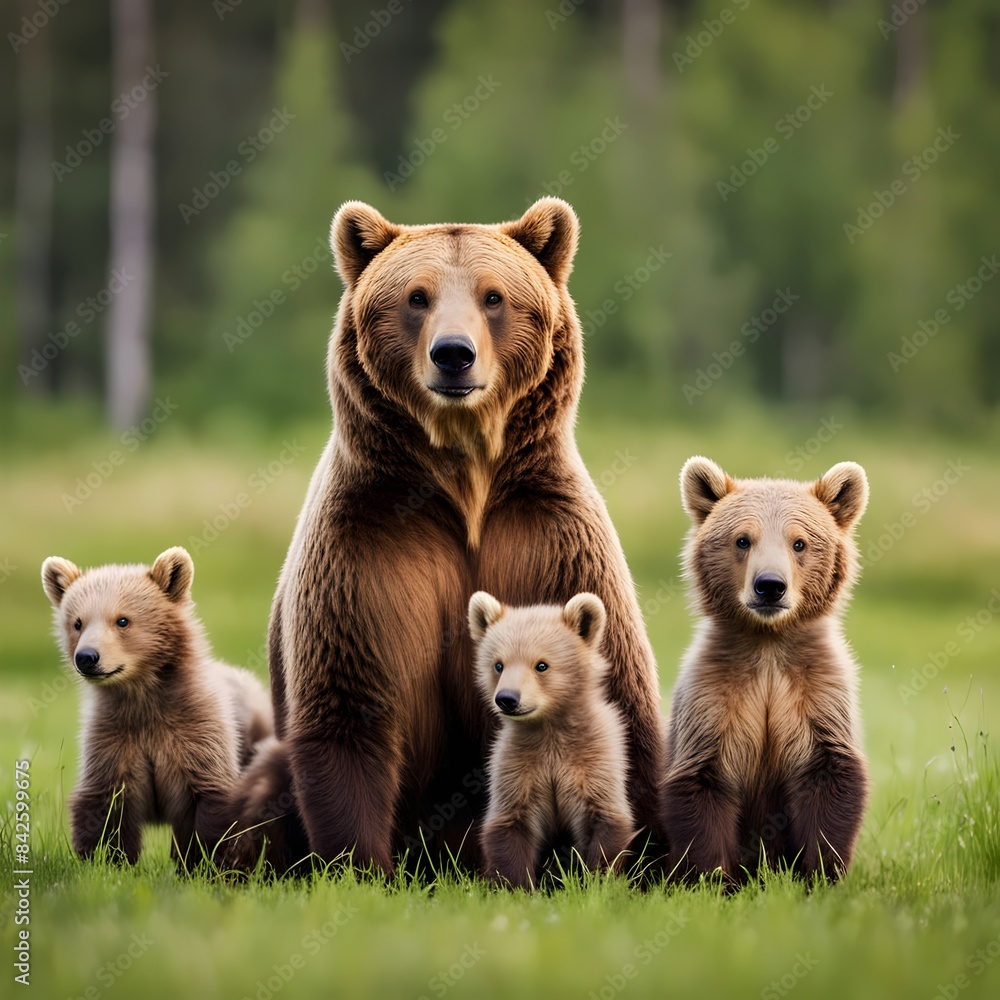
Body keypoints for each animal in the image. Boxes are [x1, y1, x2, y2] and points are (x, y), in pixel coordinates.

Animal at [41, 546, 274, 867]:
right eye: (77, 622)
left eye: (122, 620)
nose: (87, 657)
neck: (145, 701)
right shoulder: (114, 740)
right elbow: (106, 806)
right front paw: (107, 859)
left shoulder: (197, 736)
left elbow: (211, 804)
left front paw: (209, 863)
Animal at [468, 590, 635, 889]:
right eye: (498, 664)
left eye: (542, 665)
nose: (507, 698)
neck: (549, 729)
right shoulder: (515, 766)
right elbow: (509, 826)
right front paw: (517, 885)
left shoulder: (595, 759)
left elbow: (605, 821)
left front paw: (596, 880)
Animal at [661, 457, 871, 885]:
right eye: (743, 540)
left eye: (799, 542)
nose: (770, 585)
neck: (768, 644)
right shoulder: (711, 697)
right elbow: (701, 786)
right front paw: (712, 879)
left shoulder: (819, 695)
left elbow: (831, 779)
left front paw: (822, 873)